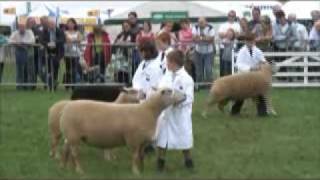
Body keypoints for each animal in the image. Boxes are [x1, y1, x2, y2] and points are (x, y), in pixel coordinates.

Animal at [58, 88, 186, 175]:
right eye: (170, 90)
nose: (185, 95)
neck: (147, 111)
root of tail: (66, 107)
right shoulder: (134, 139)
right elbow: (134, 156)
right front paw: (135, 172)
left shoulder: (143, 141)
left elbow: (141, 156)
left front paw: (142, 170)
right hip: (73, 135)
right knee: (75, 154)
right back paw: (79, 170)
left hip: (70, 136)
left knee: (65, 150)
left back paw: (64, 168)